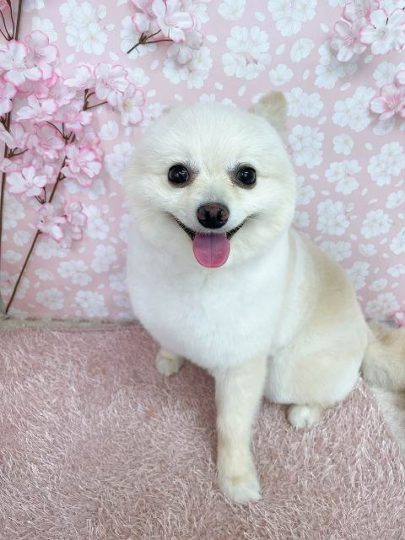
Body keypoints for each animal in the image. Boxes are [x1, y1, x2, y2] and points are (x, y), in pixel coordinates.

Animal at [124, 92, 405, 504]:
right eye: (178, 174)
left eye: (247, 175)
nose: (213, 212)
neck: (201, 276)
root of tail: (367, 334)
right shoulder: (164, 316)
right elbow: (171, 340)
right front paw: (169, 358)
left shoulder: (243, 365)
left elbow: (232, 425)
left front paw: (235, 480)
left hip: (286, 373)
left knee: (337, 390)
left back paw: (305, 412)